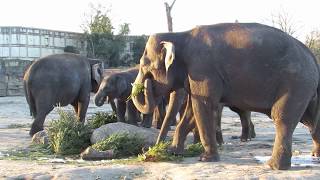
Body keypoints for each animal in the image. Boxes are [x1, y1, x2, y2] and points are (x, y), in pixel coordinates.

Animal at [131, 22, 320, 170]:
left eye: (146, 67)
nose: (150, 153)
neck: (180, 35)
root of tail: (311, 56)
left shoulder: (203, 69)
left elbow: (203, 107)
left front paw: (205, 159)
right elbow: (192, 111)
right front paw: (175, 153)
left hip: (296, 82)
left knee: (282, 117)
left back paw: (274, 166)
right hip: (306, 86)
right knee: (311, 120)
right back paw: (315, 156)